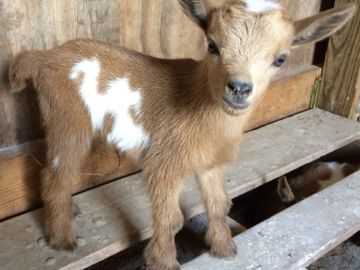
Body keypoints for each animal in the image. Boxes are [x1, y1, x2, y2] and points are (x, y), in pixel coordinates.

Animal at [7, 0, 354, 270]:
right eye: (212, 45)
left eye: (280, 58)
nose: (239, 88)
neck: (198, 99)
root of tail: (44, 57)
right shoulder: (165, 163)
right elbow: (171, 219)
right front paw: (163, 261)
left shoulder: (211, 162)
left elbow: (219, 203)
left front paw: (224, 248)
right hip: (67, 116)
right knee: (56, 173)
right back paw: (62, 238)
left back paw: (69, 212)